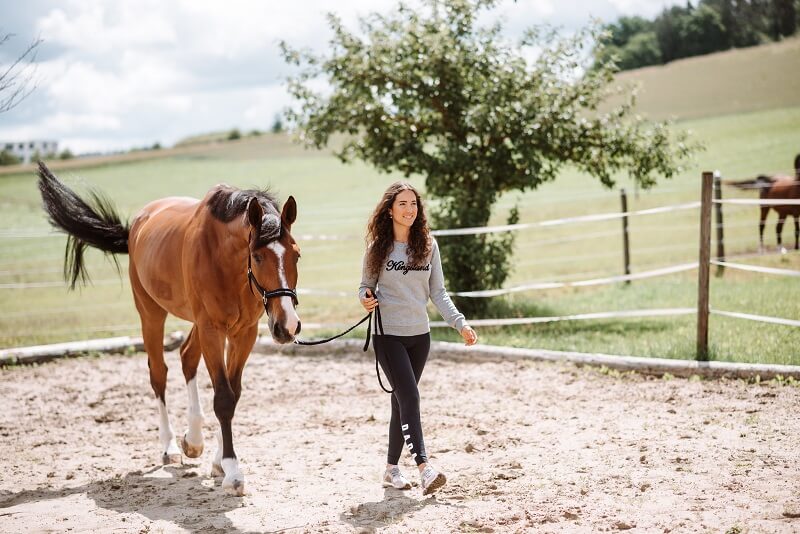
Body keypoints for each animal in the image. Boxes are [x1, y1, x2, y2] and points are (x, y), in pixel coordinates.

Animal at [36, 163, 304, 498]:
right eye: (257, 256)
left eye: (296, 254)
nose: (287, 325)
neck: (224, 258)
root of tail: (137, 225)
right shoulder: (212, 328)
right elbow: (223, 398)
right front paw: (233, 471)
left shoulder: (244, 332)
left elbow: (233, 392)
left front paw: (218, 460)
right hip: (152, 314)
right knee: (158, 373)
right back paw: (171, 446)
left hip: (198, 323)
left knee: (187, 356)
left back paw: (194, 441)